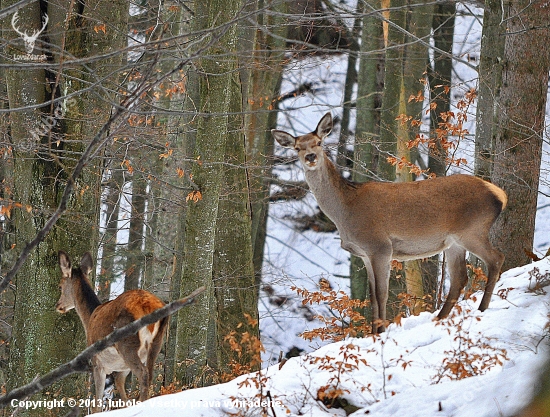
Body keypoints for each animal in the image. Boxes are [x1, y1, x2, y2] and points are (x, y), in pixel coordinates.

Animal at [56, 250, 169, 410]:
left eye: (60, 286)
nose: (58, 305)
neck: (89, 318)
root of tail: (149, 307)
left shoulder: (97, 362)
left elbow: (97, 404)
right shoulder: (121, 367)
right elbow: (121, 389)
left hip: (127, 343)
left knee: (143, 373)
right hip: (156, 342)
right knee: (150, 373)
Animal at [274, 113, 512, 332]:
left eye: (319, 142)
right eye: (297, 147)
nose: (310, 156)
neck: (345, 211)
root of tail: (500, 194)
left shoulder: (379, 246)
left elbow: (382, 294)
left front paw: (380, 332)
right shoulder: (365, 254)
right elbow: (372, 297)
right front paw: (373, 333)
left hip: (472, 230)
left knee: (496, 258)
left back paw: (482, 308)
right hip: (454, 242)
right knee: (460, 277)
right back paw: (440, 318)